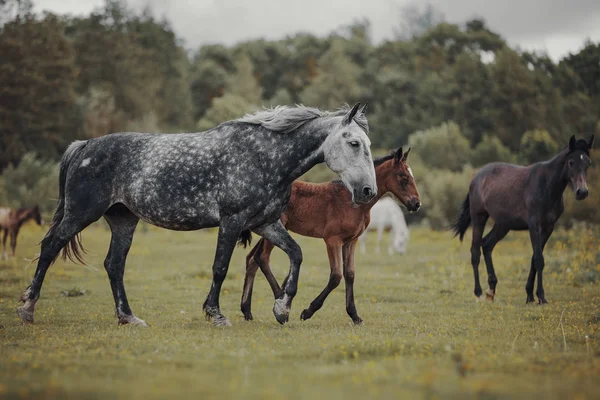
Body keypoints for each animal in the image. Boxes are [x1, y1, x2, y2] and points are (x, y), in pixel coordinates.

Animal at [17, 102, 376, 324]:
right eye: (355, 143)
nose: (367, 192)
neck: (265, 157)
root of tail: (84, 145)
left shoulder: (264, 222)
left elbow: (296, 254)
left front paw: (282, 308)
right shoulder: (232, 221)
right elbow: (220, 267)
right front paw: (216, 314)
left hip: (123, 220)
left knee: (113, 265)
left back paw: (128, 317)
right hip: (80, 214)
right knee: (50, 248)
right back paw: (27, 309)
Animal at [240, 147, 422, 324]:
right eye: (404, 177)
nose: (416, 203)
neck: (351, 201)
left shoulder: (351, 240)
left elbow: (350, 274)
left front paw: (354, 315)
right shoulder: (333, 240)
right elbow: (336, 275)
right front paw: (308, 311)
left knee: (252, 259)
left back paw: (247, 310)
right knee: (262, 257)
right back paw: (281, 303)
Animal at [452, 134, 592, 304]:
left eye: (588, 162)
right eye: (571, 162)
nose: (582, 192)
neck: (546, 185)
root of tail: (476, 178)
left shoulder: (548, 228)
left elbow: (534, 259)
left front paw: (530, 295)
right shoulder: (534, 226)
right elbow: (539, 259)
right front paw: (541, 296)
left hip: (503, 225)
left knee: (487, 245)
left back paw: (491, 291)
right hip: (479, 217)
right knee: (475, 252)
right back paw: (478, 293)